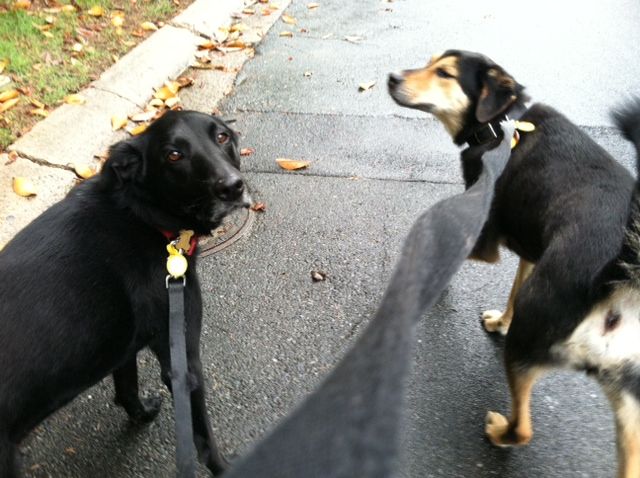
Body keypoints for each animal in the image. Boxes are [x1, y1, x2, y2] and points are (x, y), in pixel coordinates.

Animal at [0, 110, 250, 476]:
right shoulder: (183, 362)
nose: (232, 187)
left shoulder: (124, 347)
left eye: (222, 137)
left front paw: (142, 414)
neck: (141, 214)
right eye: (173, 155)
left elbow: (127, 388)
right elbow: (205, 441)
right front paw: (226, 466)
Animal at [388, 50, 640, 476]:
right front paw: (499, 320)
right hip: (628, 406)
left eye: (445, 73)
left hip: (528, 339)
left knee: (523, 428)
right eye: (430, 61)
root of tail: (618, 282)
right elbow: (513, 288)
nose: (391, 78)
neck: (501, 124)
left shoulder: (486, 235)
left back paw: (499, 431)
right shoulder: (529, 251)